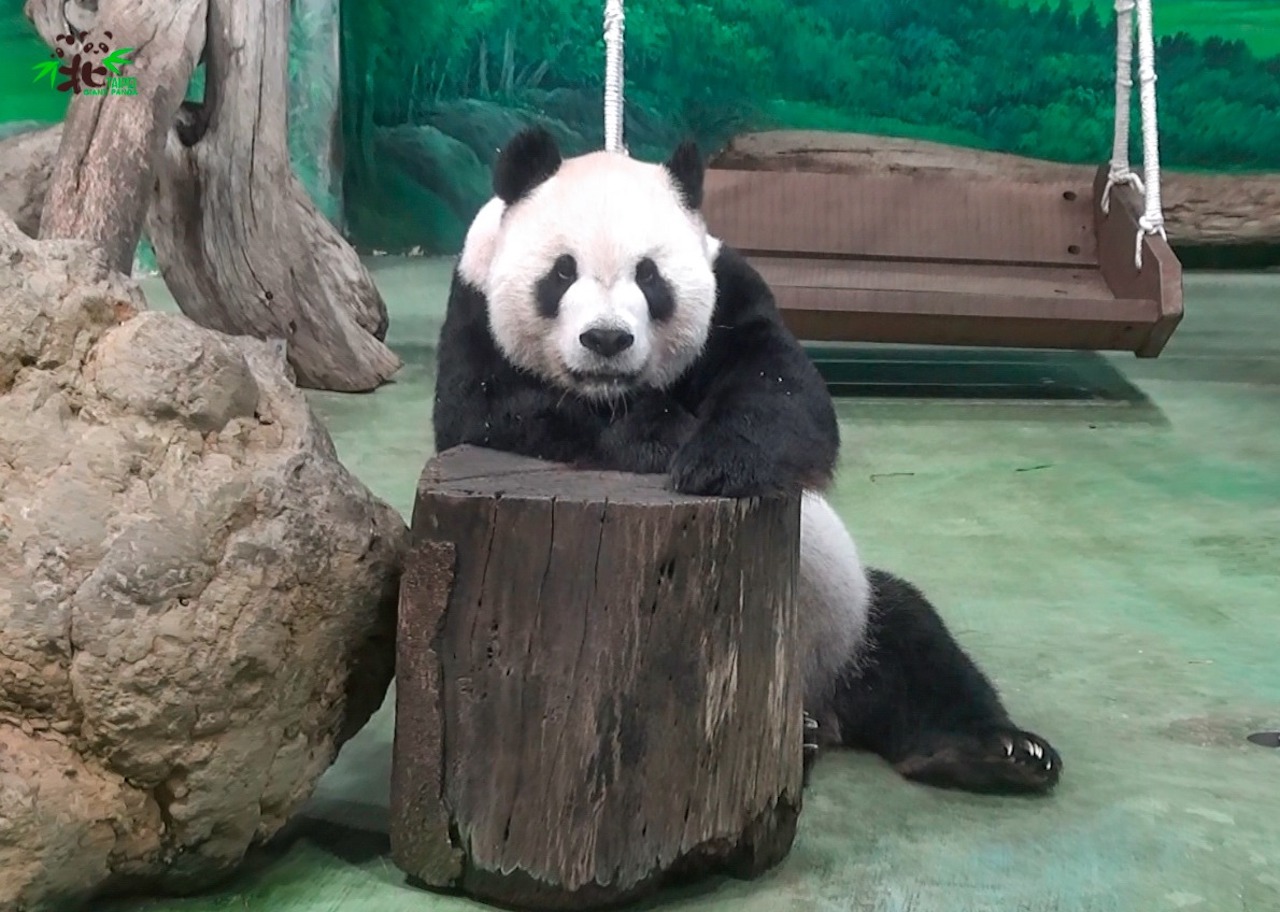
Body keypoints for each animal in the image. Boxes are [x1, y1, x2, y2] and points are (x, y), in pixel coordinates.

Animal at [432, 126, 1062, 796]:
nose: (606, 339)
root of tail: (821, 705)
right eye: (561, 271)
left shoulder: (729, 290)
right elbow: (496, 408)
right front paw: (661, 435)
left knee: (917, 644)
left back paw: (994, 753)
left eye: (650, 277)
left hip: (847, 609)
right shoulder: (474, 310)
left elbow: (782, 381)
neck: (614, 388)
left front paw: (718, 462)